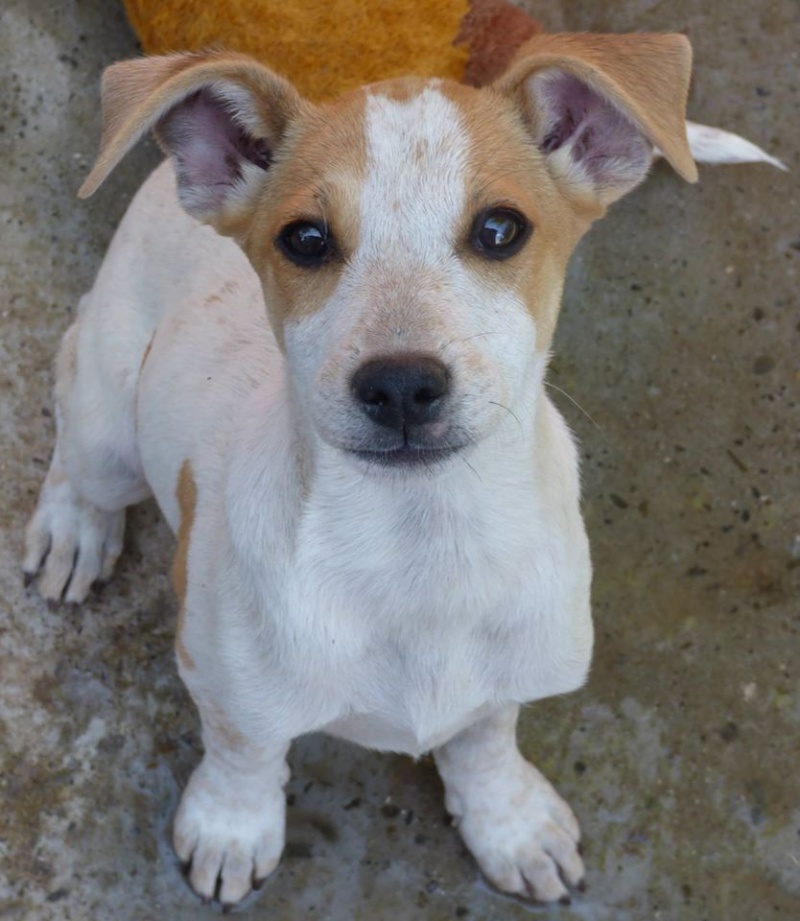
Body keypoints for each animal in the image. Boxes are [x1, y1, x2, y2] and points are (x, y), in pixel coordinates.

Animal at [23, 34, 700, 904]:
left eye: (500, 229)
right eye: (306, 239)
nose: (401, 384)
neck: (418, 544)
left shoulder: (514, 670)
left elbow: (486, 734)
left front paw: (508, 820)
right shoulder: (220, 676)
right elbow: (244, 749)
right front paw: (232, 824)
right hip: (110, 424)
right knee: (76, 404)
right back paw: (73, 530)